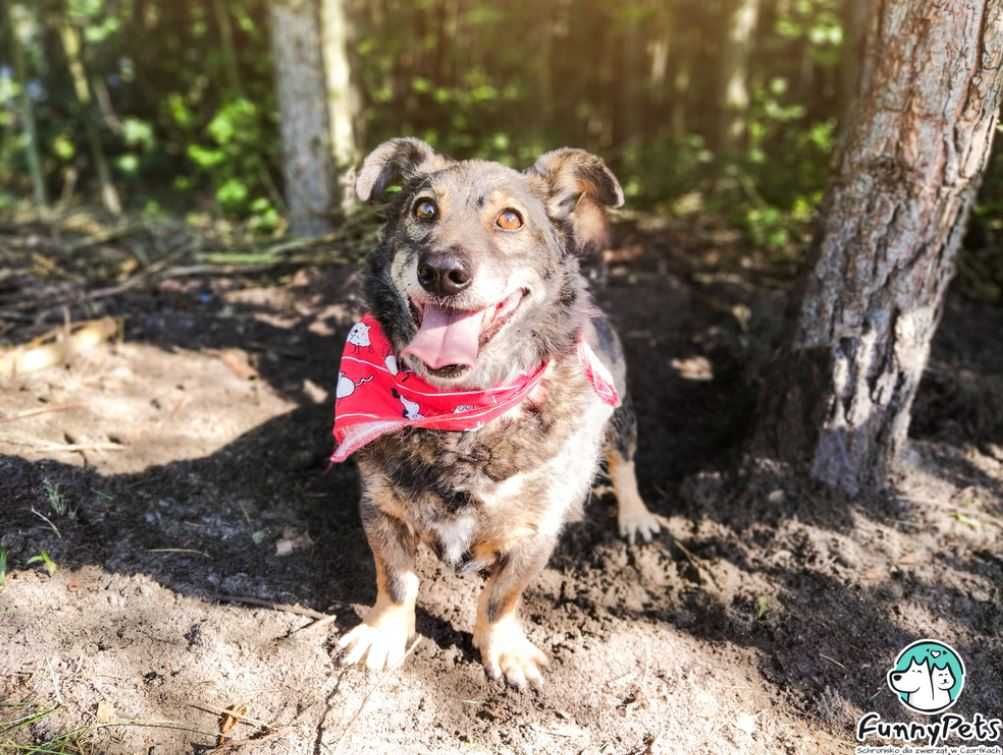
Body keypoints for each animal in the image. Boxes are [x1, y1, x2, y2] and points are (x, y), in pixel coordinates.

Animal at [332, 138, 661, 685]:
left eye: (510, 219)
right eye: (424, 209)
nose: (442, 271)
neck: (461, 413)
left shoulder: (536, 535)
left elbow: (499, 598)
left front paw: (503, 650)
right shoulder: (379, 509)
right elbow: (397, 580)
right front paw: (384, 634)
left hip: (619, 414)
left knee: (624, 461)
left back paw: (635, 516)